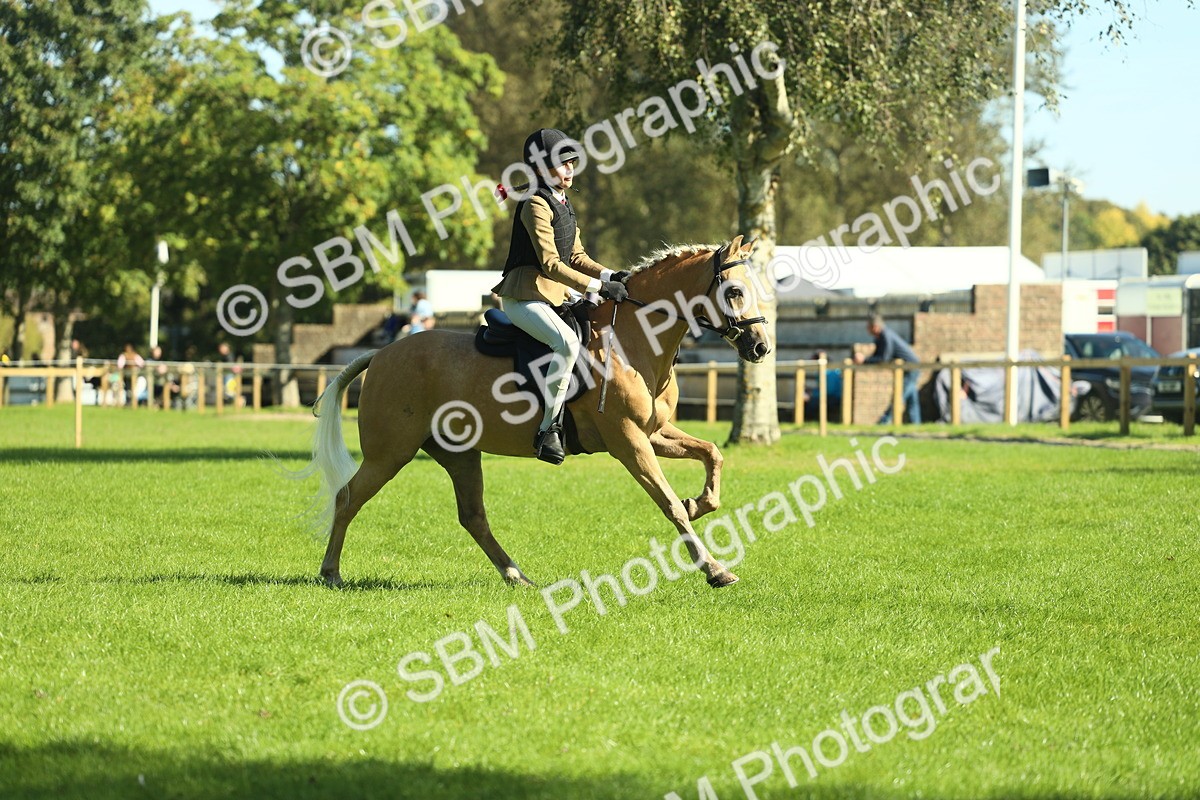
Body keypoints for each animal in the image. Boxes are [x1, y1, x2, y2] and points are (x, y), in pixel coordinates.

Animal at [300, 235, 771, 589]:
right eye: (733, 291)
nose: (761, 348)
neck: (632, 339)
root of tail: (381, 354)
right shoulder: (628, 440)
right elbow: (669, 503)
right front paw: (714, 568)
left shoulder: (653, 432)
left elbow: (712, 453)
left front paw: (701, 502)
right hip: (390, 453)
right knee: (347, 497)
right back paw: (331, 573)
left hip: (459, 454)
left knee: (473, 517)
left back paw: (516, 576)